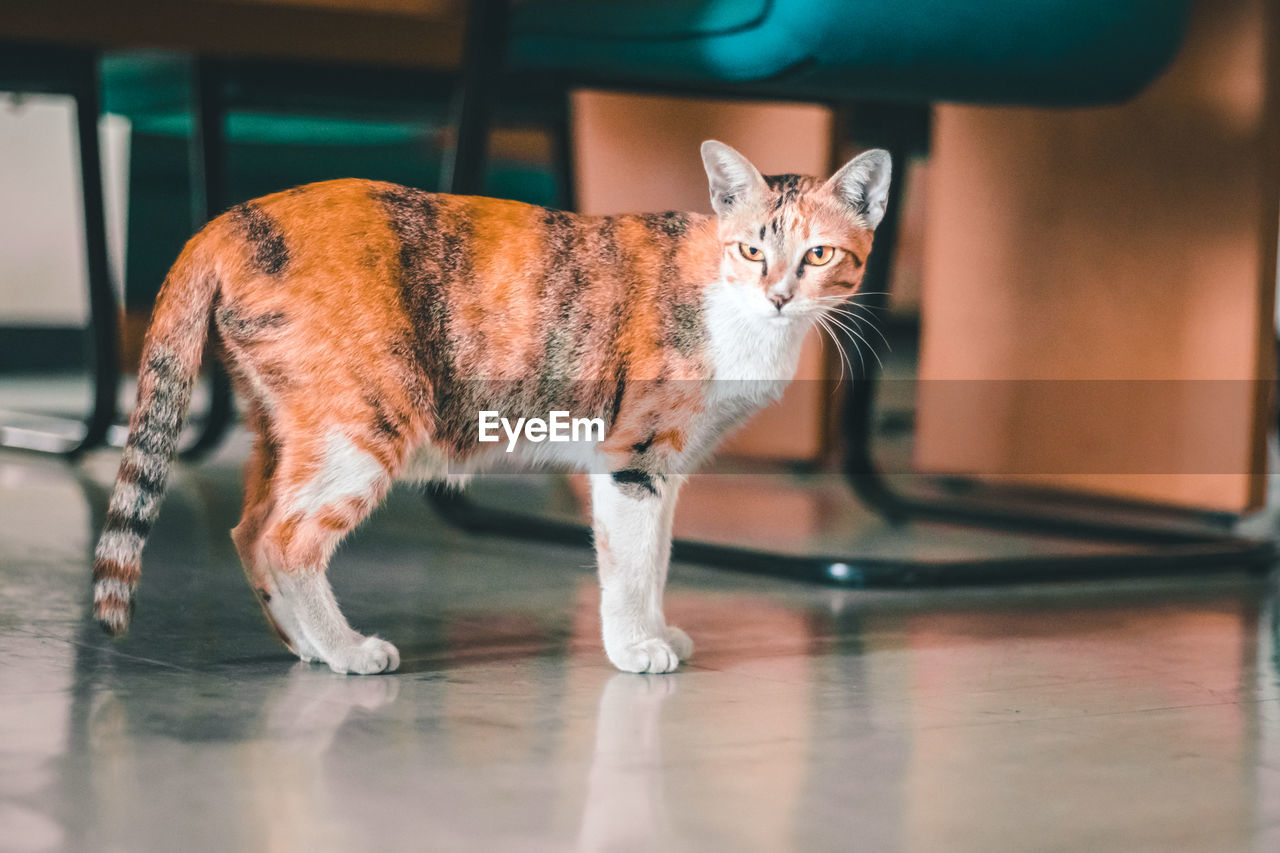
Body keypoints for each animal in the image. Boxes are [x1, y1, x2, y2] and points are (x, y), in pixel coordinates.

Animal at [92, 137, 890, 671]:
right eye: (752, 250)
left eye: (819, 254)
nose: (778, 294)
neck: (739, 313)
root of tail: (233, 217)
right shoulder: (633, 453)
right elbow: (631, 563)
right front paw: (636, 646)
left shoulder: (668, 464)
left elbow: (660, 555)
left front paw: (659, 631)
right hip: (365, 423)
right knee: (285, 539)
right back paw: (346, 650)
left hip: (290, 424)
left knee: (250, 526)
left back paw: (305, 645)